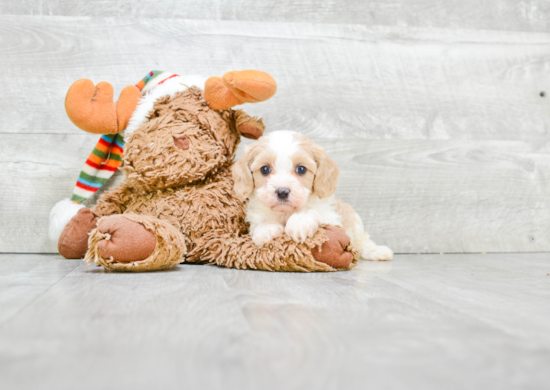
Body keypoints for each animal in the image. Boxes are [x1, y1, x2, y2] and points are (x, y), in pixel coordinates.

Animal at [231, 131, 394, 262]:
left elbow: (312, 211)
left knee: (363, 242)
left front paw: (299, 223)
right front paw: (266, 230)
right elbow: (260, 225)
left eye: (301, 169)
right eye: (265, 169)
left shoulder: (332, 218)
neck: (286, 212)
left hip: (355, 222)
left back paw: (379, 252)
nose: (282, 191)